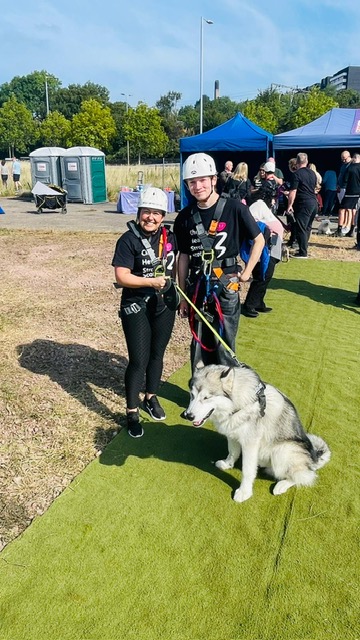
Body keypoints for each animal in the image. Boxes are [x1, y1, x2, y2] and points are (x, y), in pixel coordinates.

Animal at [187, 362, 330, 502]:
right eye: (192, 395)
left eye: (206, 397)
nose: (187, 415)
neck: (240, 405)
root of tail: (313, 459)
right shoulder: (232, 435)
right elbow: (232, 452)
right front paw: (227, 465)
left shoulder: (250, 443)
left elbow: (247, 470)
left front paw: (244, 492)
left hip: (282, 451)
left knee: (304, 476)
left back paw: (282, 485)